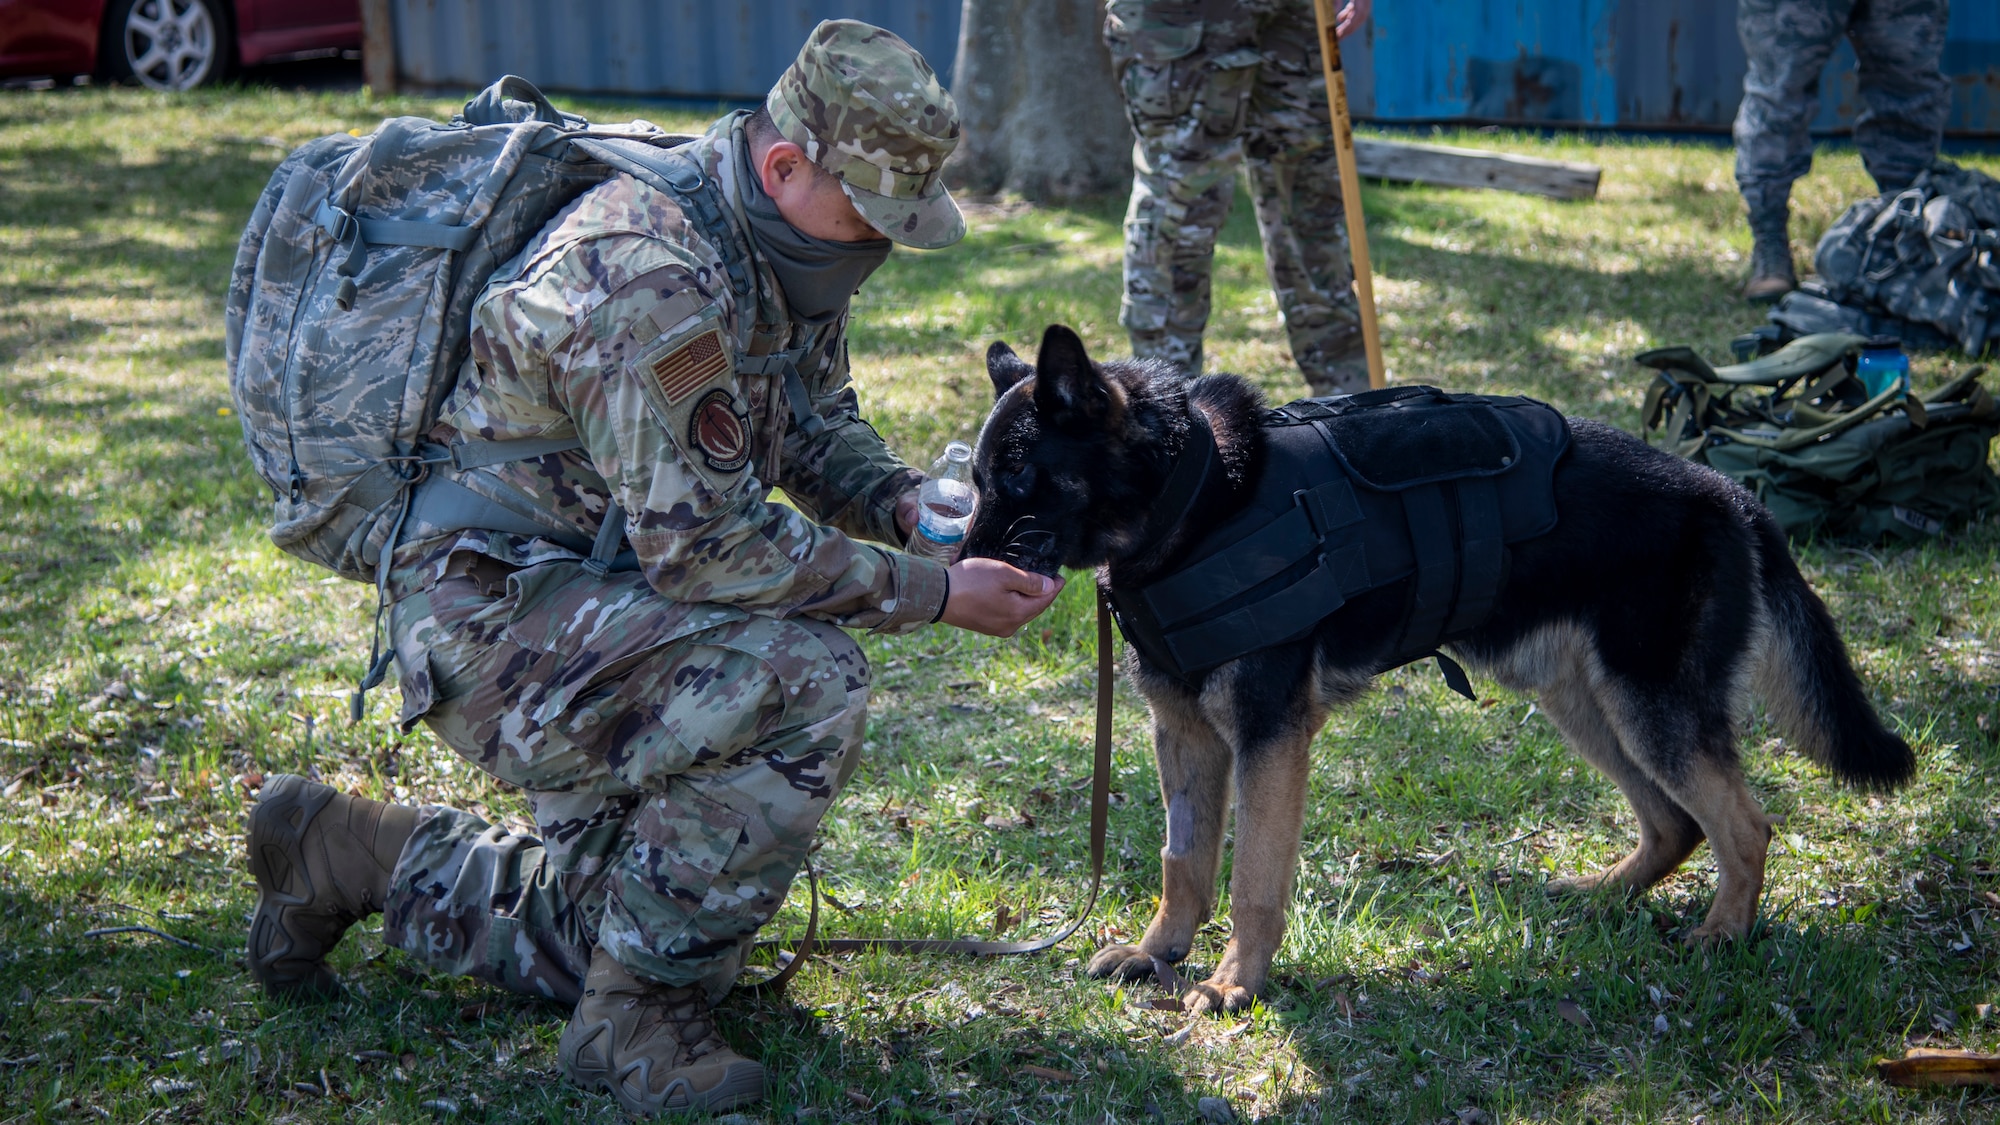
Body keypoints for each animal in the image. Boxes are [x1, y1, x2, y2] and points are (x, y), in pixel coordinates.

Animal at [960, 322, 1912, 1008]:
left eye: (1017, 476)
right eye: (973, 479)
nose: (959, 562)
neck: (1193, 496)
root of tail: (1730, 494)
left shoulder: (1270, 738)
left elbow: (1254, 876)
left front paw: (1235, 982)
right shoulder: (1184, 733)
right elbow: (1182, 859)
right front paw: (1161, 952)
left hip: (1650, 708)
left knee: (1743, 824)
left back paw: (1724, 933)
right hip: (1587, 702)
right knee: (1676, 822)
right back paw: (1608, 893)